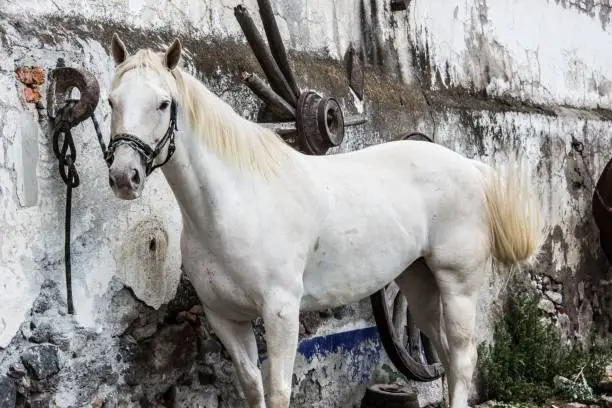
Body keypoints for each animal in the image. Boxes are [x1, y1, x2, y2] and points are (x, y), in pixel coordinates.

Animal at [106, 35, 544, 408]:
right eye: (111, 102)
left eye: (163, 103)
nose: (124, 177)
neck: (234, 204)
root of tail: (469, 167)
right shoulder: (225, 318)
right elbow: (252, 387)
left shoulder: (281, 311)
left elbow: (278, 392)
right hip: (418, 282)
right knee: (447, 356)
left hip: (458, 286)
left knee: (464, 358)